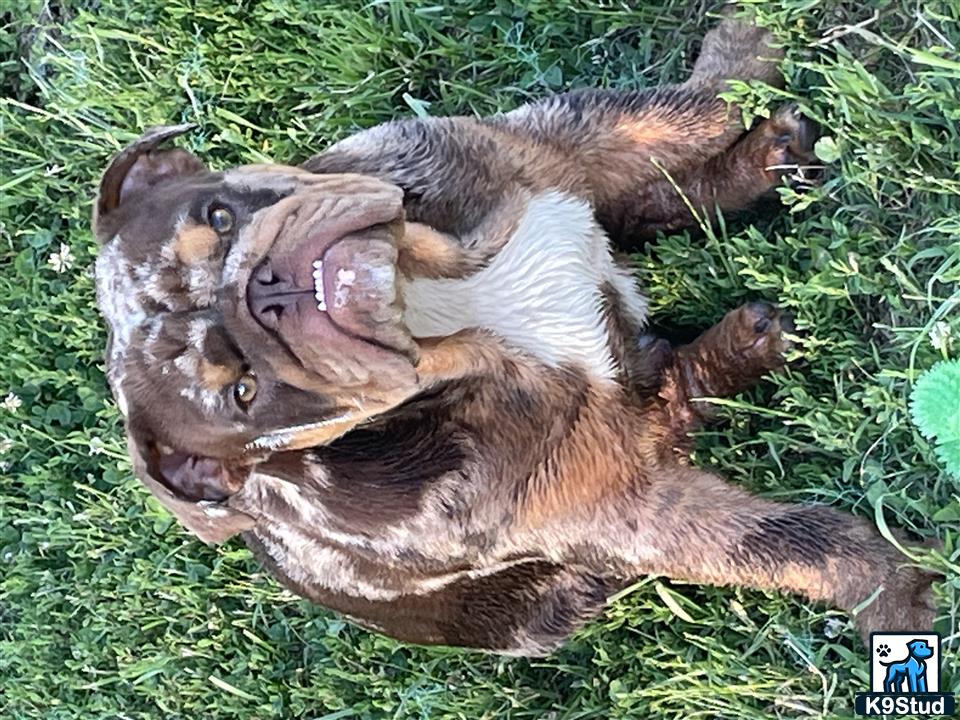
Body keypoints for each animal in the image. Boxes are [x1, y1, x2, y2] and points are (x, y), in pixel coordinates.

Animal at [92, 18, 936, 660]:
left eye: (218, 215)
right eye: (244, 392)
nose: (262, 289)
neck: (443, 297)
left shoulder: (551, 142)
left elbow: (678, 109)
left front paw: (746, 43)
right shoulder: (628, 509)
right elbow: (789, 543)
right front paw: (890, 587)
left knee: (651, 213)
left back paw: (760, 177)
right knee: (667, 397)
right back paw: (735, 342)